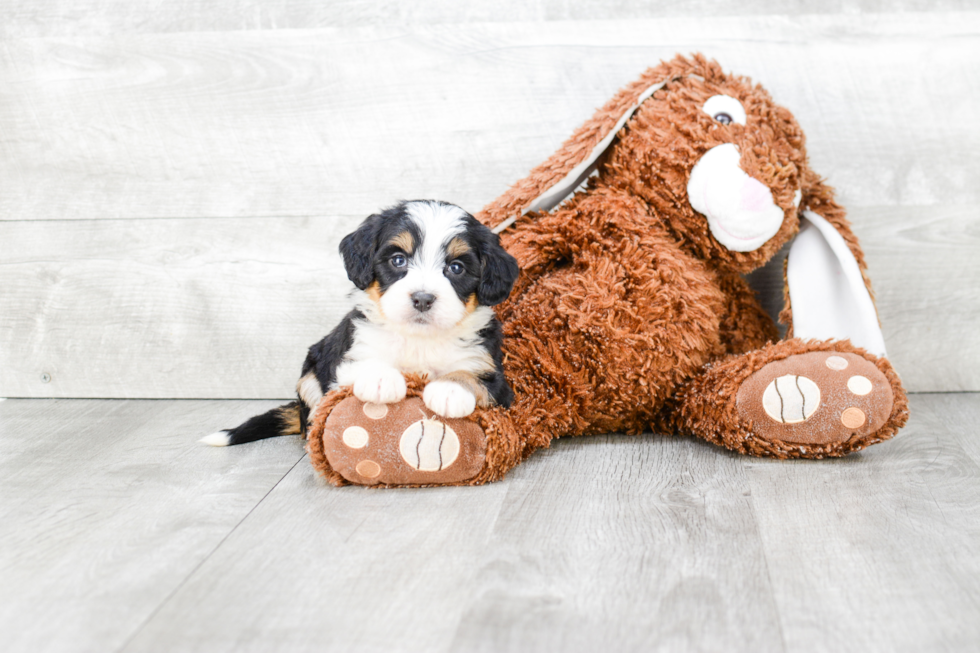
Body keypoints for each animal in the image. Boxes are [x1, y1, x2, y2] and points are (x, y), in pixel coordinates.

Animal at [204, 197, 524, 448]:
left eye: (456, 268)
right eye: (398, 260)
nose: (422, 299)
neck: (418, 339)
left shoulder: (494, 376)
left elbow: (468, 375)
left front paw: (449, 390)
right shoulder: (349, 356)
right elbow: (364, 364)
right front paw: (381, 380)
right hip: (310, 369)